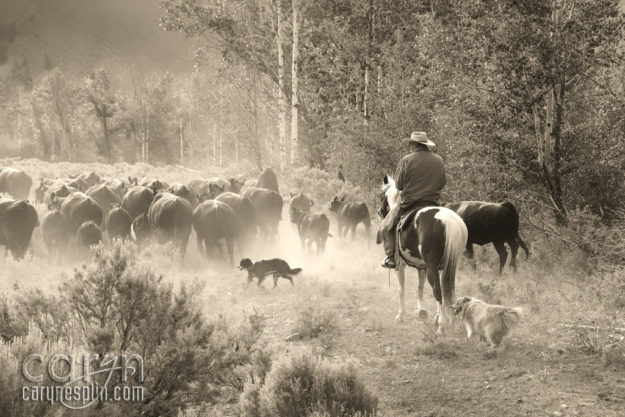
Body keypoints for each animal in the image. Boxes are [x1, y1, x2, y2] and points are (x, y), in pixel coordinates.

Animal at [378, 174, 466, 334]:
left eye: (381, 195)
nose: (380, 212)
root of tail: (448, 222)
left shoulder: (400, 266)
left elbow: (401, 289)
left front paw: (400, 316)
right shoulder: (422, 267)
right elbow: (420, 288)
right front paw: (421, 311)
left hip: (432, 267)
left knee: (438, 291)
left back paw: (441, 325)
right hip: (449, 265)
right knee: (449, 290)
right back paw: (449, 320)